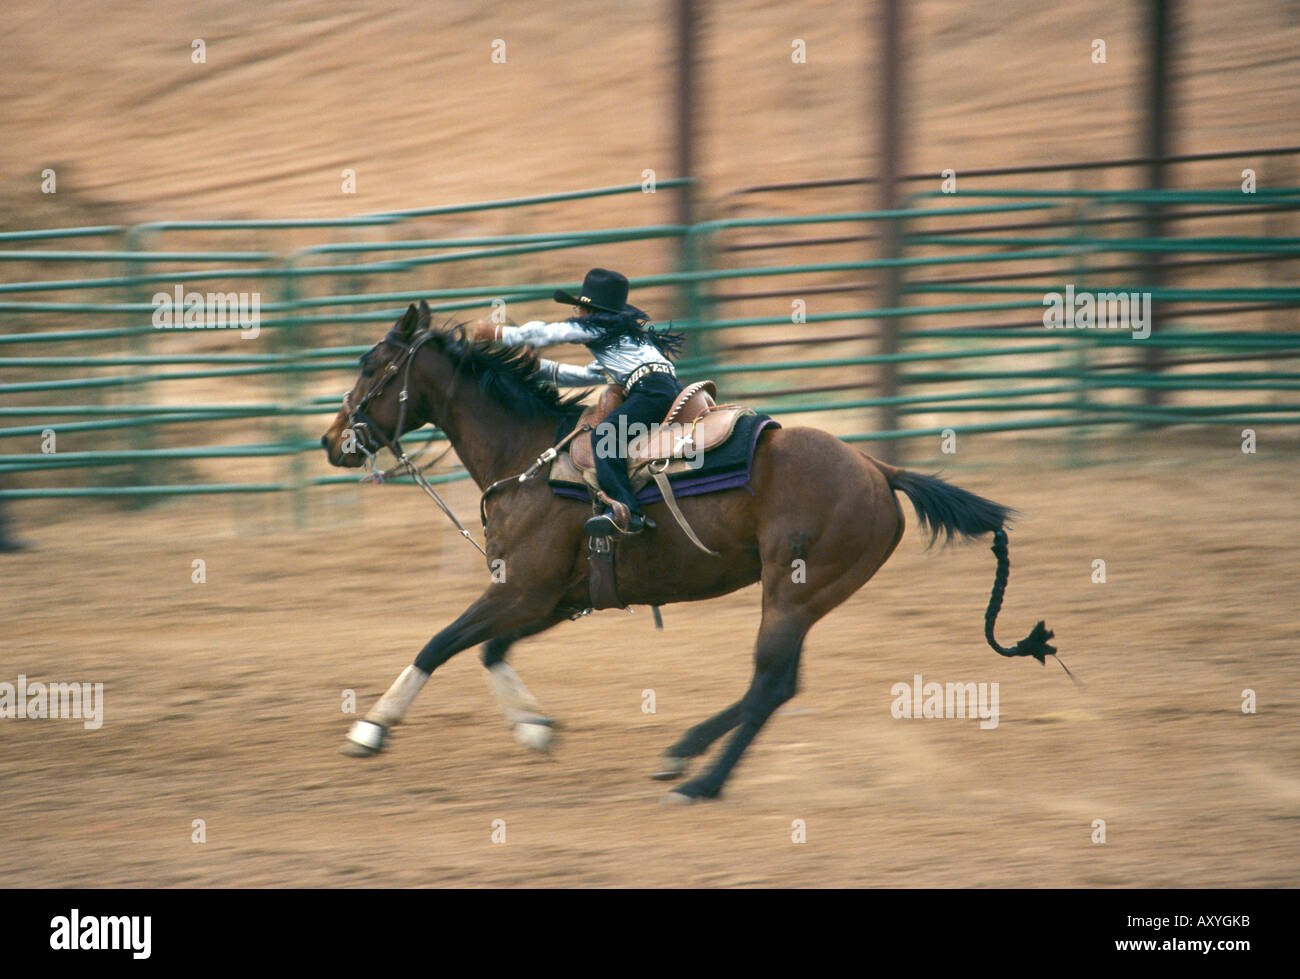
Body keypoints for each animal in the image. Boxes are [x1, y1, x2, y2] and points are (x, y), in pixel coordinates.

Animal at [317, 300, 1055, 800]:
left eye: (372, 367)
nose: (331, 440)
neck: (531, 458)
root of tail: (878, 468)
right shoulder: (551, 597)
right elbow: (490, 650)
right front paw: (534, 728)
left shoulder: (518, 589)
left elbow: (438, 644)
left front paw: (370, 730)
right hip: (807, 595)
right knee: (775, 684)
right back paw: (683, 754)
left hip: (792, 591)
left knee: (771, 684)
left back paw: (700, 782)